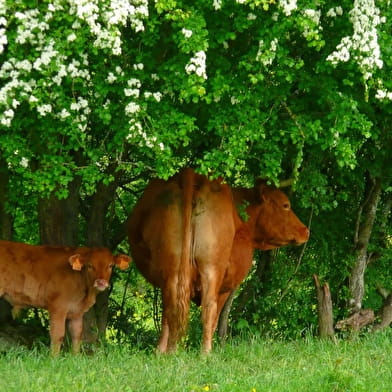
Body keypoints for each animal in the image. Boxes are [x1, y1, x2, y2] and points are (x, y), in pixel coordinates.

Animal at [0, 239, 132, 356]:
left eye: (111, 265)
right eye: (89, 265)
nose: (101, 282)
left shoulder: (77, 312)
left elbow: (77, 335)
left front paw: (75, 357)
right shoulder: (58, 307)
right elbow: (57, 335)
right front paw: (53, 358)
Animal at [129, 168, 310, 352]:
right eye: (285, 205)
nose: (305, 230)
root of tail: (193, 175)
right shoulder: (225, 287)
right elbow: (215, 318)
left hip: (172, 268)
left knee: (171, 306)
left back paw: (165, 351)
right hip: (211, 268)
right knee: (208, 308)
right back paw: (205, 352)